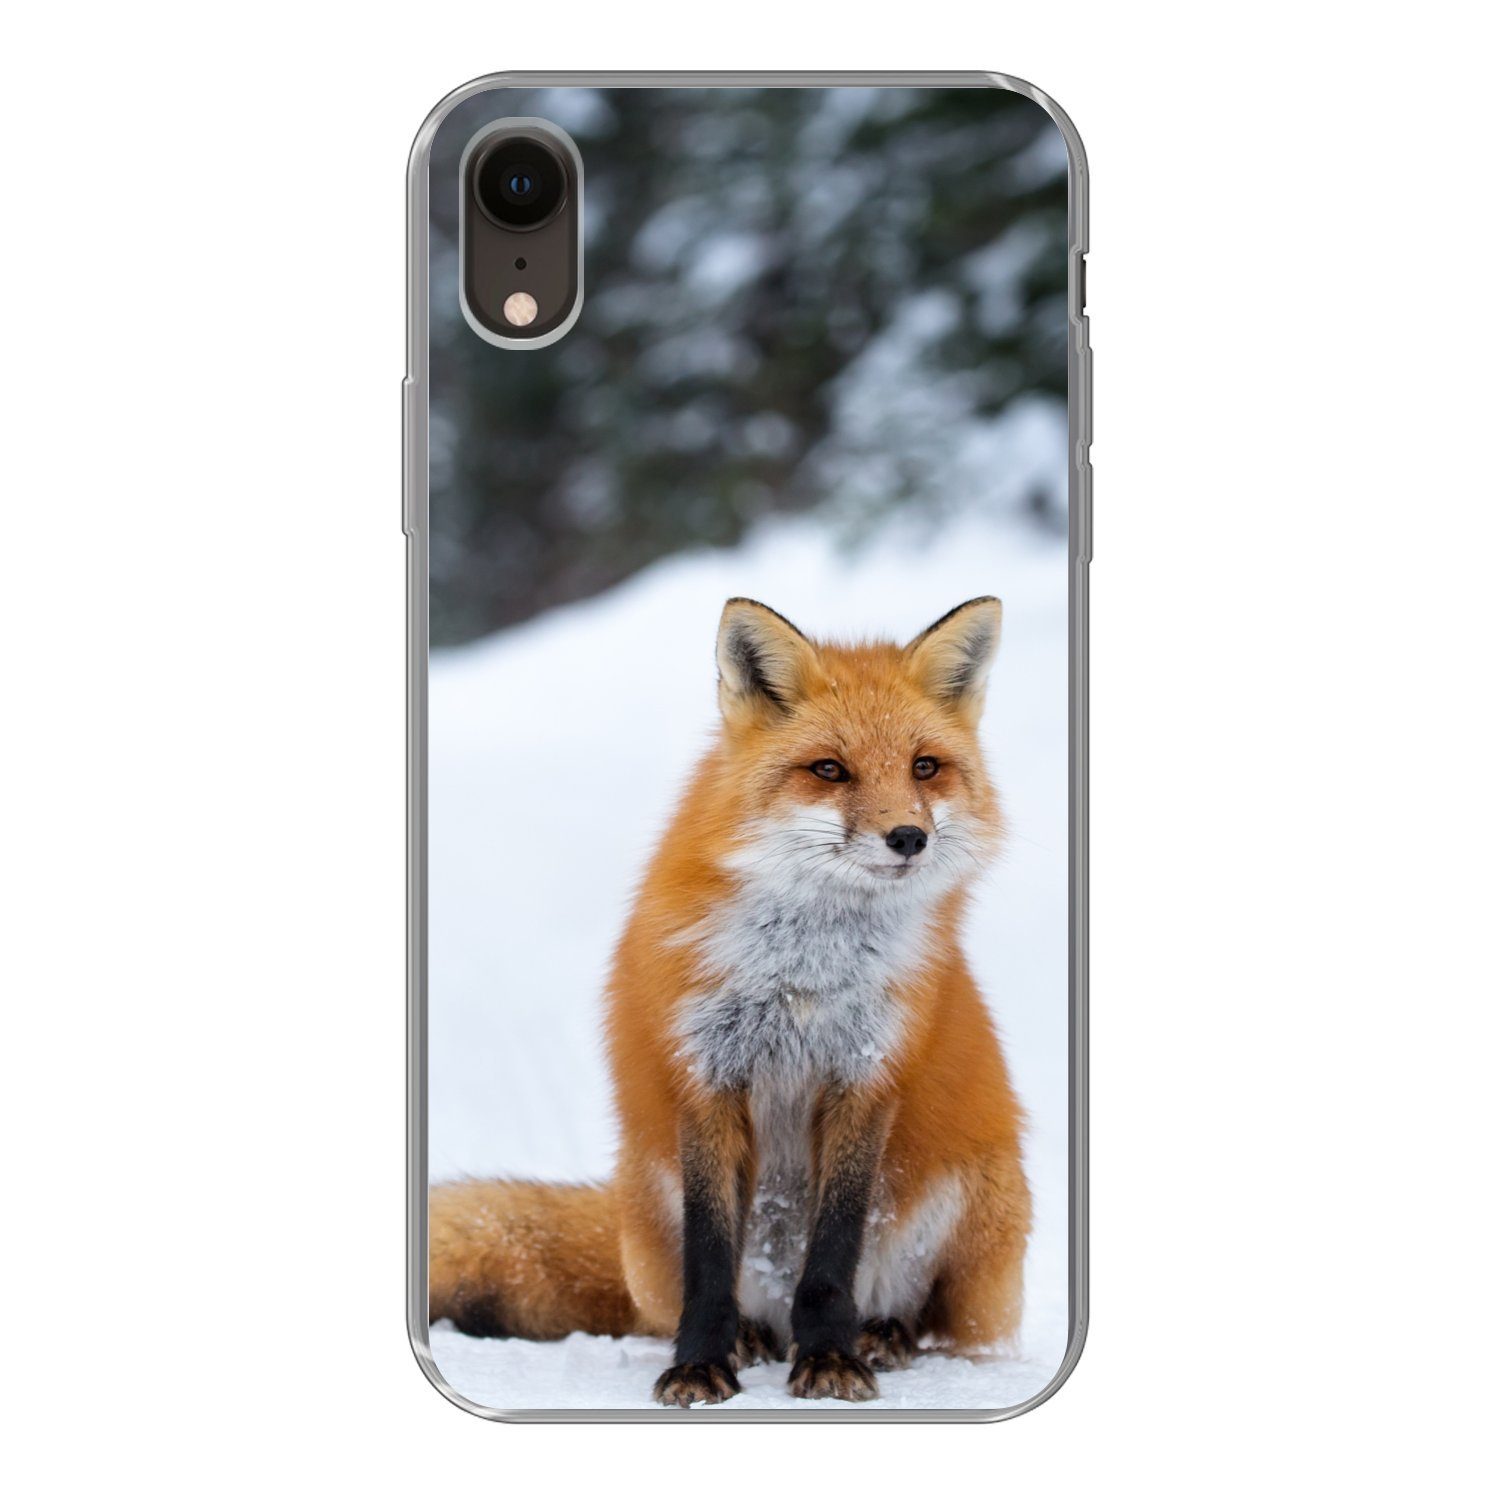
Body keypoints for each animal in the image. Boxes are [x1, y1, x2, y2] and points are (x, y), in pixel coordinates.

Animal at [429, 595, 1030, 1405]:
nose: (909, 837)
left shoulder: (865, 1078)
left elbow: (832, 1255)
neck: (803, 975)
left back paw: (881, 1335)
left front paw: (831, 1356)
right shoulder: (707, 1075)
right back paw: (752, 1337)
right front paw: (700, 1363)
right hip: (648, 1198)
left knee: (929, 1320)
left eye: (924, 767)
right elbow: (710, 1259)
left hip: (978, 1199)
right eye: (830, 770)